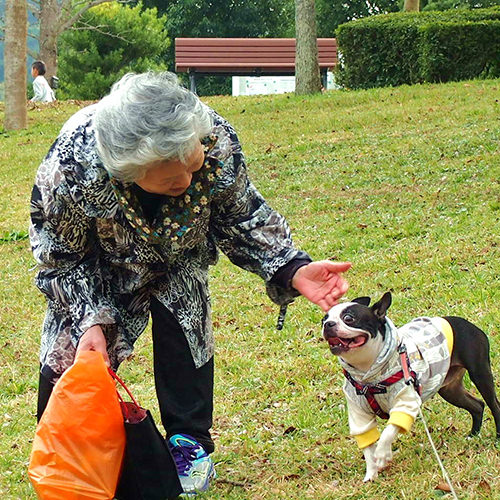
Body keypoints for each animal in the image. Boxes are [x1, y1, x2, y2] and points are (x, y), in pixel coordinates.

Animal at [322, 292, 498, 482]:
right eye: (324, 318)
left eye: (349, 318)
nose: (327, 324)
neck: (368, 374)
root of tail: (468, 324)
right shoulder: (359, 413)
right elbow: (368, 446)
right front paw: (371, 475)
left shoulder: (406, 402)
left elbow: (389, 431)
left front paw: (382, 454)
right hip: (450, 390)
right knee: (477, 405)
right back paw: (473, 435)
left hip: (480, 373)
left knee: (494, 405)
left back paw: (497, 438)